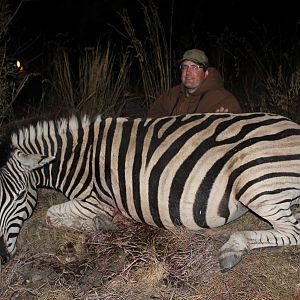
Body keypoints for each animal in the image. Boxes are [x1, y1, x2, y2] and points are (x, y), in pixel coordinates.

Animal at [0, 113, 300, 272]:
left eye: (19, 197)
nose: (2, 256)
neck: (79, 158)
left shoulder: (95, 200)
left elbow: (51, 214)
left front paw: (102, 224)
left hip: (257, 181)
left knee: (292, 232)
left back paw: (232, 249)